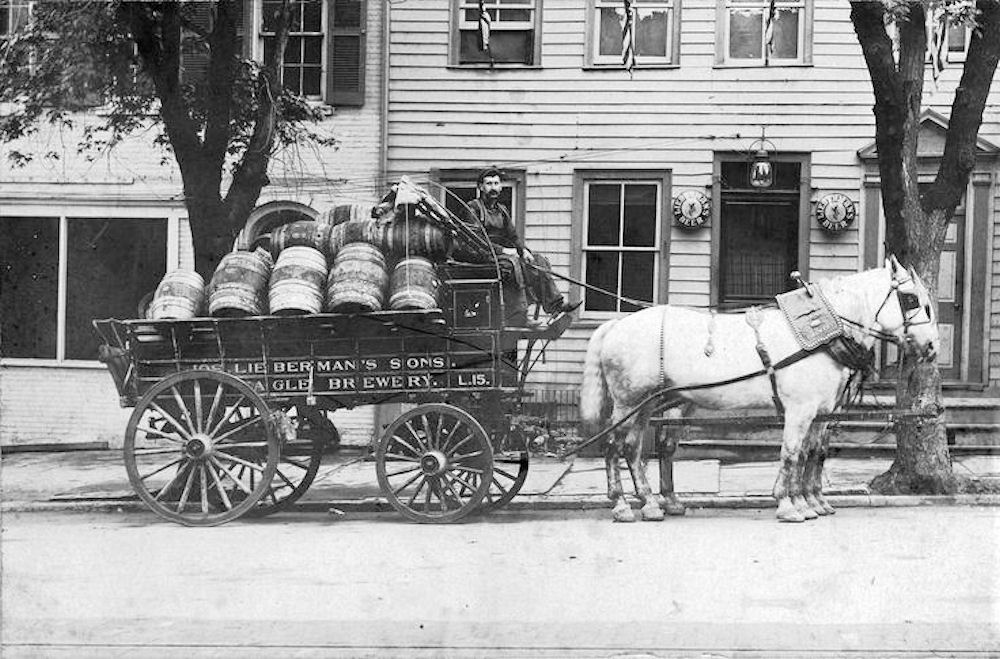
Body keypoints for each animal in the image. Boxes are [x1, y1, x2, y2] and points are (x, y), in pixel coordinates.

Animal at [584, 256, 940, 520]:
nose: (932, 346)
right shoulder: (800, 410)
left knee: (632, 448)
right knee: (614, 446)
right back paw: (621, 505)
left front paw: (811, 502)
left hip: (645, 404)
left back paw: (651, 504)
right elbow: (792, 453)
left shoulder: (821, 412)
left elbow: (813, 453)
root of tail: (616, 323)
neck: (823, 335)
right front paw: (789, 505)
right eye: (911, 299)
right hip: (627, 402)